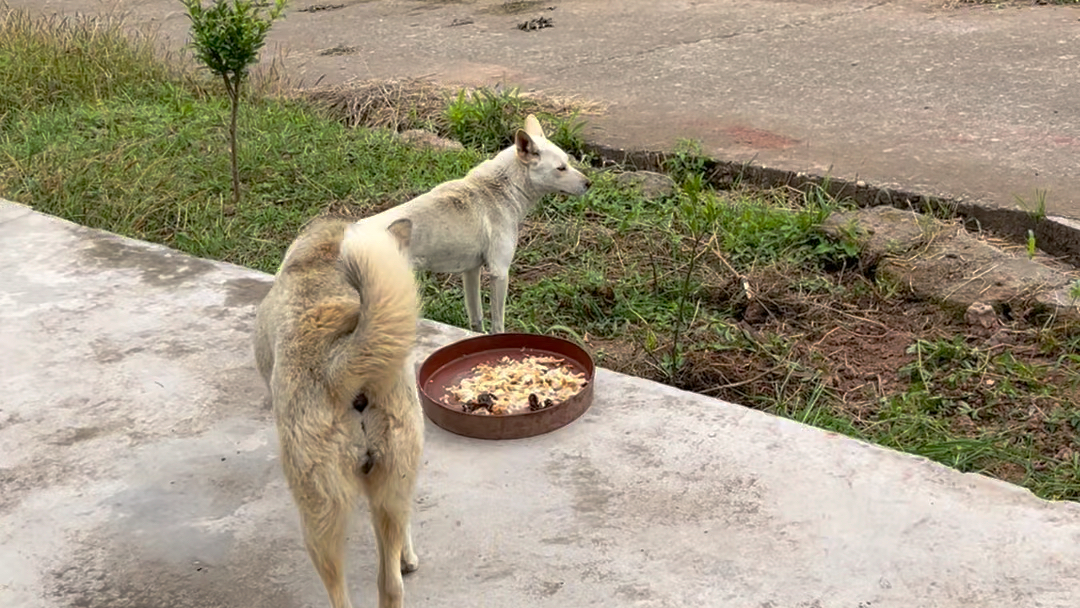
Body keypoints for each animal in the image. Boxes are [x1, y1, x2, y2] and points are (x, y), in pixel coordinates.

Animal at [252, 219, 421, 608]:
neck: (322, 257)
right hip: (394, 480)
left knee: (339, 591)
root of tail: (339, 365)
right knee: (390, 585)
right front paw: (408, 558)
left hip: (318, 517)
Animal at [358, 114, 591, 332]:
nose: (589, 183)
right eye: (561, 168)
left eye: (568, 162)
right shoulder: (499, 272)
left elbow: (476, 319)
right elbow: (498, 325)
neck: (502, 188)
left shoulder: (470, 271)